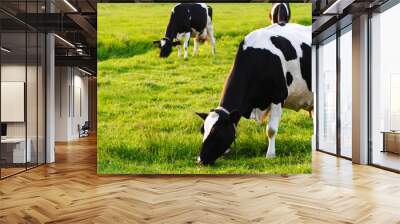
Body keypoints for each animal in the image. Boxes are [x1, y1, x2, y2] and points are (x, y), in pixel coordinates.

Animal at [196, 23, 312, 165]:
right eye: (202, 130)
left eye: (216, 132)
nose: (200, 160)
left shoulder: (278, 97)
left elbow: (271, 130)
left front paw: (270, 154)